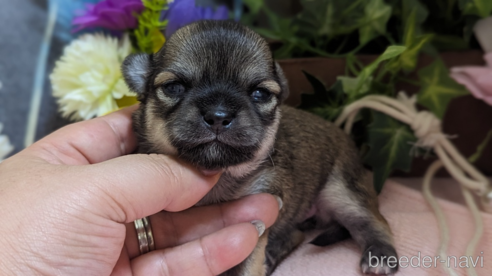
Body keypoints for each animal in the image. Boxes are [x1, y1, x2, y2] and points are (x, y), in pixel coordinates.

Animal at [123, 20, 400, 276]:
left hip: (343, 191)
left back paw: (380, 256)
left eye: (260, 94)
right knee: (297, 235)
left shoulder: (255, 225)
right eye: (173, 87)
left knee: (375, 221)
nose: (218, 116)